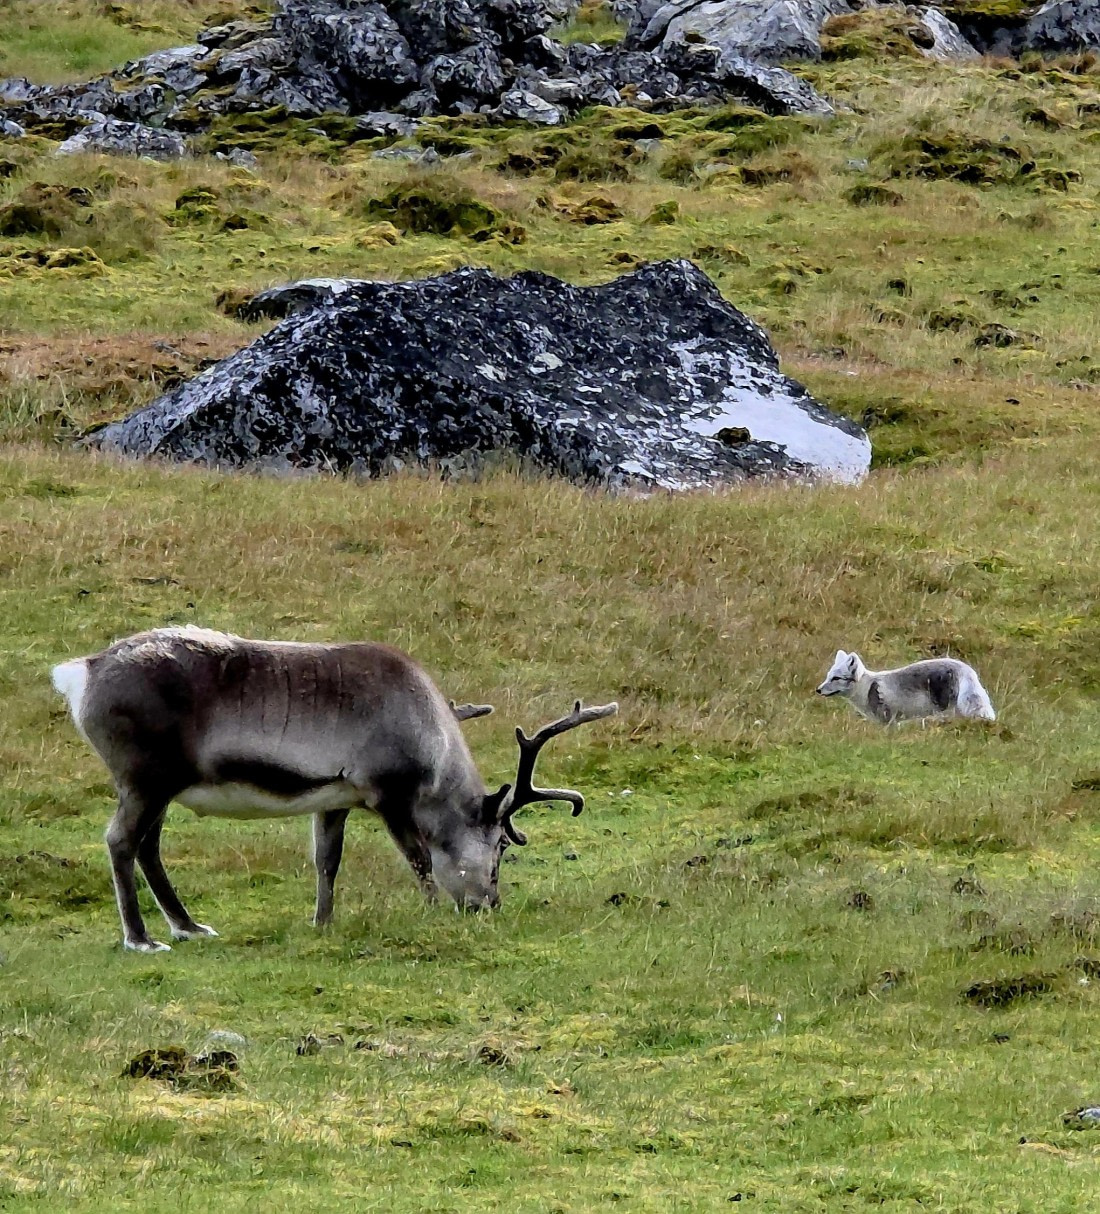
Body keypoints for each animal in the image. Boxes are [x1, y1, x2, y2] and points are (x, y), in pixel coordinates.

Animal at [51, 626, 617, 953]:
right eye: (500, 844)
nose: (488, 905)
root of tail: (83, 670)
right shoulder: (389, 795)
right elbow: (419, 859)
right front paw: (433, 913)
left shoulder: (335, 801)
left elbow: (327, 861)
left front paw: (321, 923)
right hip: (144, 780)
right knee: (122, 841)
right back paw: (141, 938)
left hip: (161, 789)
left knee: (148, 846)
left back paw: (189, 927)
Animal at [815, 650, 996, 725]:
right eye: (828, 676)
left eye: (836, 678)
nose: (818, 690)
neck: (866, 687)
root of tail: (965, 668)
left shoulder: (887, 719)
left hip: (943, 706)